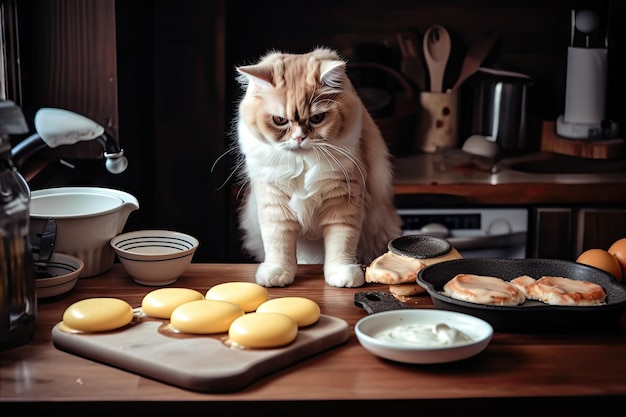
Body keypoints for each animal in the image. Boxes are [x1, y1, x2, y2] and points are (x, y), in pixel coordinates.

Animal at [230, 46, 400, 286]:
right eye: (280, 120)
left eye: (317, 118)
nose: (299, 138)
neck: (301, 164)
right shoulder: (274, 203)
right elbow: (278, 244)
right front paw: (278, 274)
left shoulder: (344, 200)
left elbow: (341, 243)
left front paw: (342, 275)